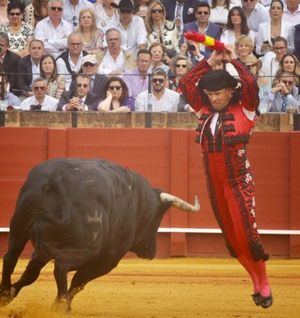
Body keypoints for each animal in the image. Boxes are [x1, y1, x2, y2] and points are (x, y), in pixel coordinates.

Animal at [0, 158, 199, 312]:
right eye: (158, 217)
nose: (152, 251)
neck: (139, 201)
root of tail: (56, 178)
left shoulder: (42, 250)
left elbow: (31, 274)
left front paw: (13, 292)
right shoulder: (108, 260)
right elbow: (79, 281)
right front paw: (62, 305)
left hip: (19, 226)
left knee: (10, 257)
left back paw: (4, 293)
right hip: (87, 248)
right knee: (61, 267)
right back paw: (61, 305)